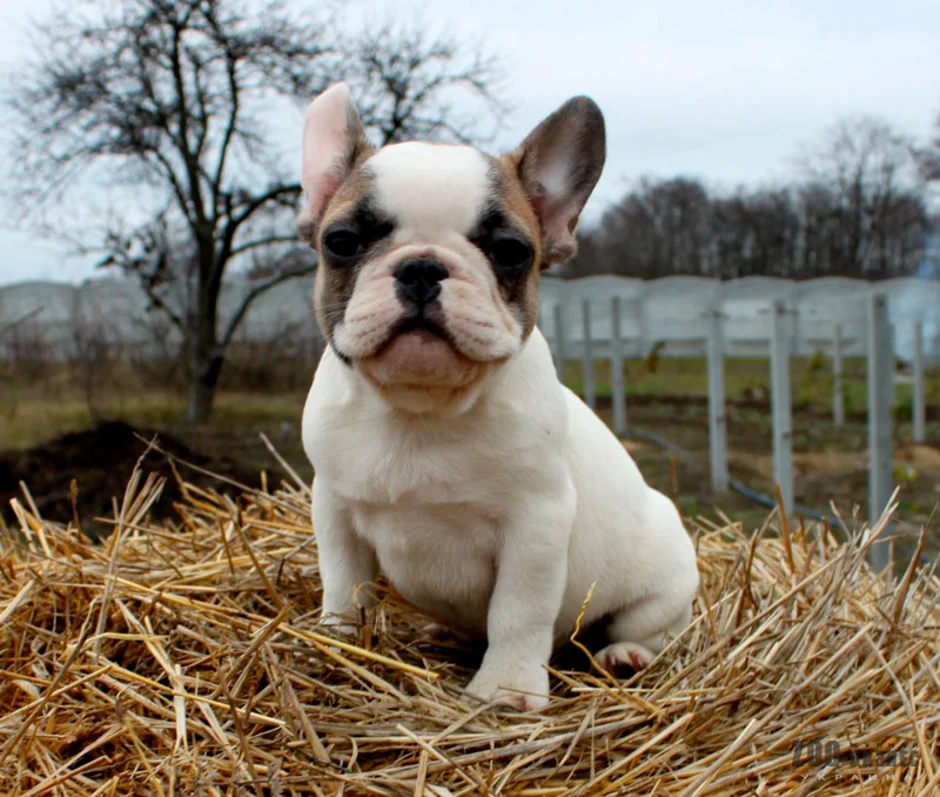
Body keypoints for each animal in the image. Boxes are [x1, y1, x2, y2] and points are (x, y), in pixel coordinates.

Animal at [298, 84, 700, 712]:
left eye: (510, 251)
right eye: (341, 242)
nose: (422, 266)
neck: (421, 408)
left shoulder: (534, 525)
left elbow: (518, 611)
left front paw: (506, 689)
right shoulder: (335, 509)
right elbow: (344, 587)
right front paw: (337, 647)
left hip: (663, 582)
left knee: (650, 629)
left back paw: (625, 656)